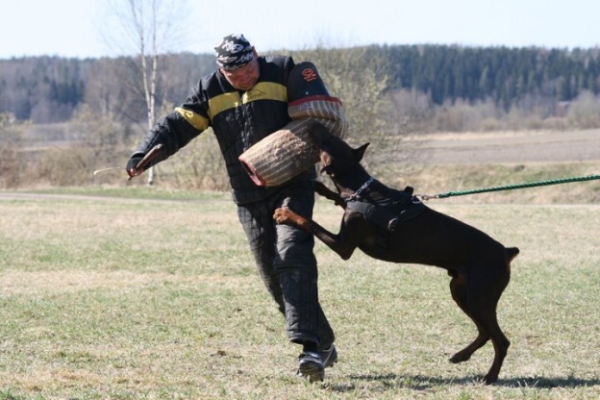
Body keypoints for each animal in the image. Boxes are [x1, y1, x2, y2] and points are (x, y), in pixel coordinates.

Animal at [274, 122, 516, 384]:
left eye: (328, 140)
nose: (314, 124)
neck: (360, 189)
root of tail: (506, 252)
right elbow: (339, 197)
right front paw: (320, 186)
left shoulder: (343, 245)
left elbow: (309, 222)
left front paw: (285, 213)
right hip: (461, 291)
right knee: (484, 332)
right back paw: (461, 356)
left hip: (481, 296)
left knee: (501, 340)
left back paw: (490, 376)